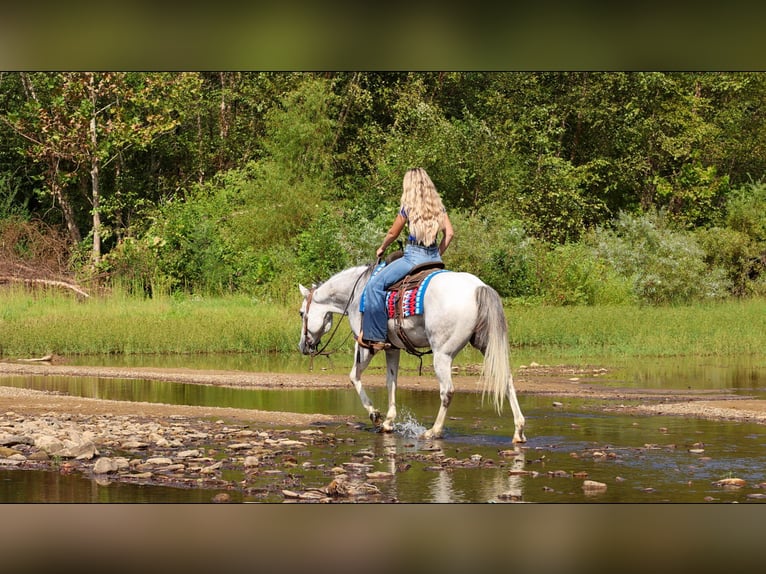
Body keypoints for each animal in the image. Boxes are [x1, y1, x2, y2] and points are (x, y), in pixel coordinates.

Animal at [298, 263, 526, 443]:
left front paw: (375, 415)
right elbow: (391, 382)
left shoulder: (366, 345)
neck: (357, 293)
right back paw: (519, 431)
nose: (302, 346)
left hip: (442, 354)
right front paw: (388, 422)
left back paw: (433, 431)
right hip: (487, 346)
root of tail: (478, 287)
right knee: (506, 380)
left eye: (301, 313)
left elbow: (354, 376)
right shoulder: (392, 348)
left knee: (447, 391)